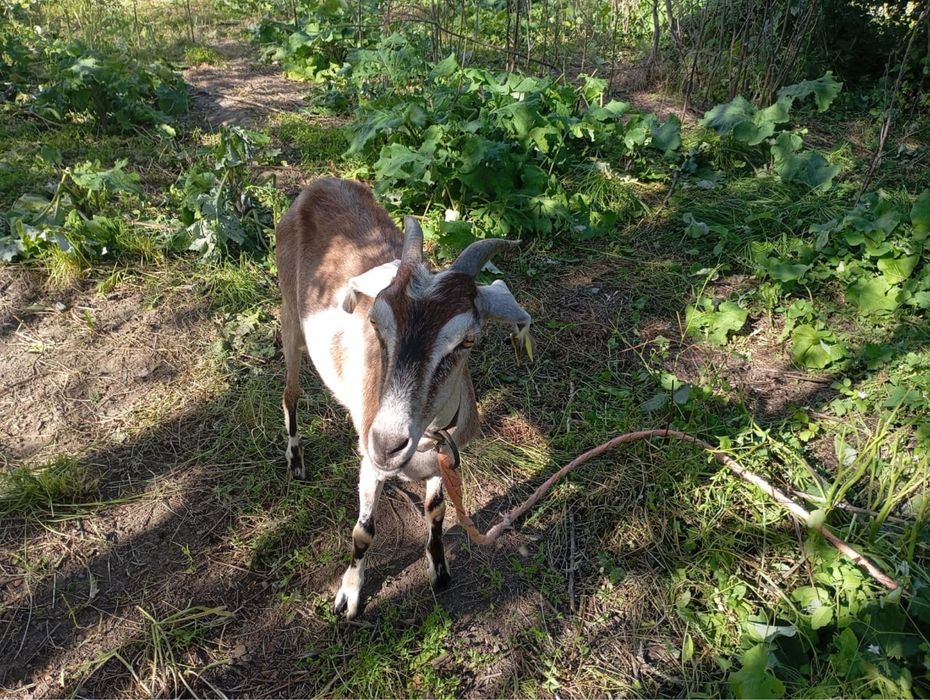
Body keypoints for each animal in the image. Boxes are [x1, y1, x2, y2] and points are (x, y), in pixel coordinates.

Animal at [275, 178, 532, 618]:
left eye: (467, 340)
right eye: (377, 322)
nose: (387, 443)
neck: (428, 438)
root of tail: (320, 184)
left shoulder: (443, 460)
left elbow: (437, 512)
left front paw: (440, 571)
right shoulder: (370, 465)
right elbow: (364, 531)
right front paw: (349, 594)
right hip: (291, 316)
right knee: (290, 393)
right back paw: (296, 460)